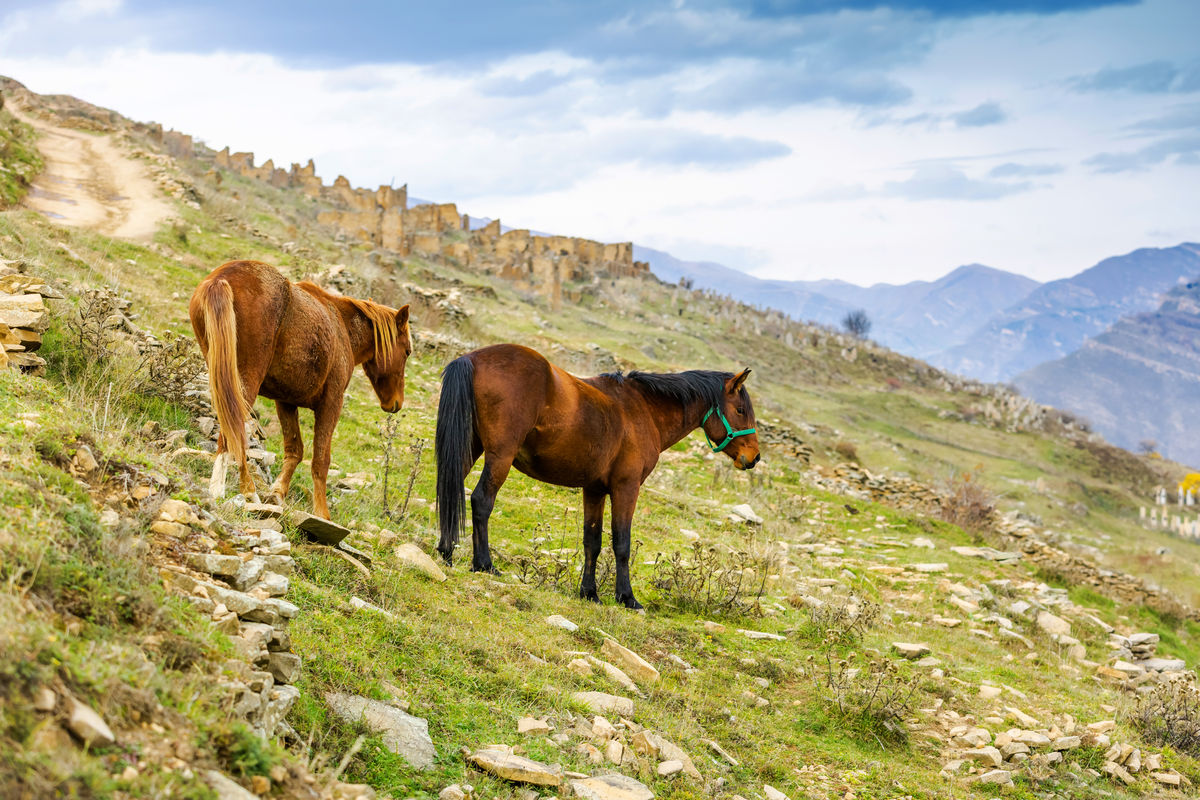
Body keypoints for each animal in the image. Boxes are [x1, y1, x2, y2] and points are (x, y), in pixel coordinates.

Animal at [188, 257, 412, 520]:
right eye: (407, 351)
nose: (395, 403)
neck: (343, 327)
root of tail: (220, 279)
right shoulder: (331, 403)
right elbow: (320, 459)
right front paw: (322, 513)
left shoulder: (286, 402)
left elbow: (294, 450)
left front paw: (277, 493)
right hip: (244, 383)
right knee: (233, 432)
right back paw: (243, 491)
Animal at [436, 340, 758, 609]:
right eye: (741, 410)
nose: (754, 457)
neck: (642, 410)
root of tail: (472, 358)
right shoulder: (626, 488)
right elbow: (621, 543)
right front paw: (627, 597)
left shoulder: (594, 490)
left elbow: (592, 541)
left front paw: (589, 592)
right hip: (500, 457)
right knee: (481, 501)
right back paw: (484, 563)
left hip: (468, 449)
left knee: (450, 489)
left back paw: (446, 551)